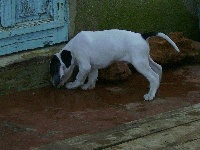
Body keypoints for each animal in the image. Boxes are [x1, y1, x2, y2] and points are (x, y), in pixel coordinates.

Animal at [50, 29, 180, 100]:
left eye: (53, 71)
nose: (53, 85)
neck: (71, 50)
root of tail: (141, 36)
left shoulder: (85, 66)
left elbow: (79, 78)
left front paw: (73, 85)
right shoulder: (93, 67)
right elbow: (92, 77)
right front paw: (88, 86)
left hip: (139, 63)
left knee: (153, 76)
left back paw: (150, 95)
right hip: (145, 59)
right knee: (158, 68)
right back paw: (154, 88)